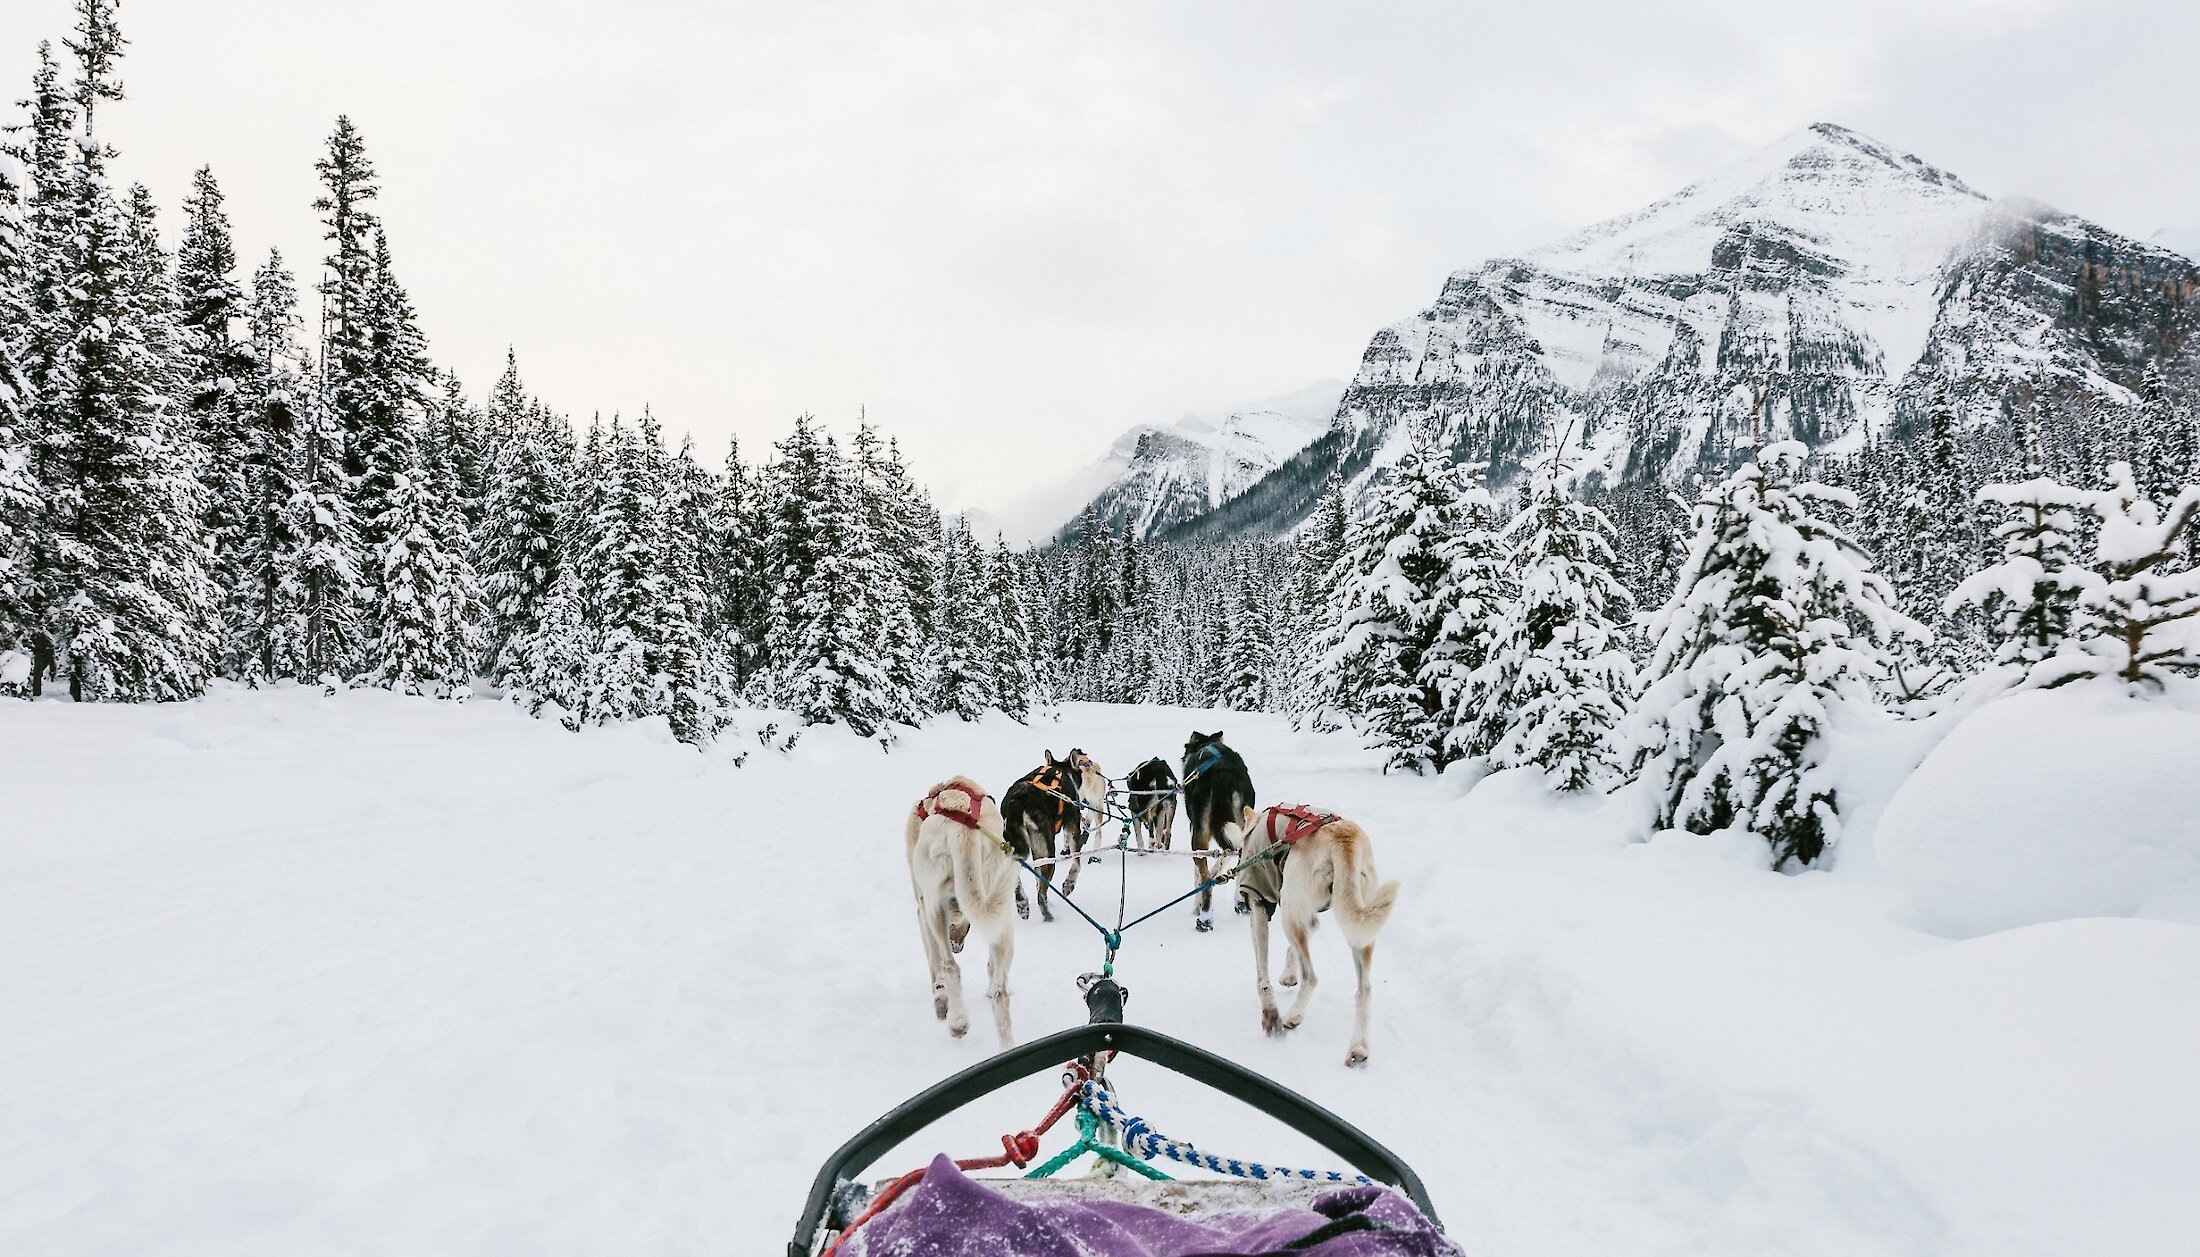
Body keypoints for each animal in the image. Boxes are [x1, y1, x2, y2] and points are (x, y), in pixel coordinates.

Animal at [902, 779, 1020, 1052]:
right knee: (999, 991)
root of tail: (963, 832)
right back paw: (1007, 1048)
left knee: (949, 966)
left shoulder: (922, 909)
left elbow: (935, 967)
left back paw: (958, 1023)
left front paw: (940, 1000)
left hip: (933, 907)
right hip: (1001, 917)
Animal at [998, 748, 1100, 924]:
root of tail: (1017, 801)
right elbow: (1077, 862)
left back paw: (1022, 903)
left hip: (1017, 844)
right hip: (1046, 850)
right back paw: (1048, 915)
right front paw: (1069, 884)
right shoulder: (1072, 826)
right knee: (1041, 893)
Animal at [1188, 730, 1258, 928]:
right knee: (1241, 863)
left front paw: (1196, 905)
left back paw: (1204, 918)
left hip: (1199, 834)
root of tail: (1223, 774)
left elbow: (1199, 875)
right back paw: (1240, 903)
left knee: (1205, 877)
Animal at [1232, 810, 1399, 1065]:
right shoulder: (1309, 918)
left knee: (1311, 977)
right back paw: (1359, 1047)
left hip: (1289, 915)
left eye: (1241, 849)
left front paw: (1269, 1011)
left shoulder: (1260, 903)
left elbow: (1262, 974)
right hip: (1359, 932)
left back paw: (1293, 1016)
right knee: (1365, 990)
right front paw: (1289, 976)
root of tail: (1345, 839)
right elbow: (1292, 949)